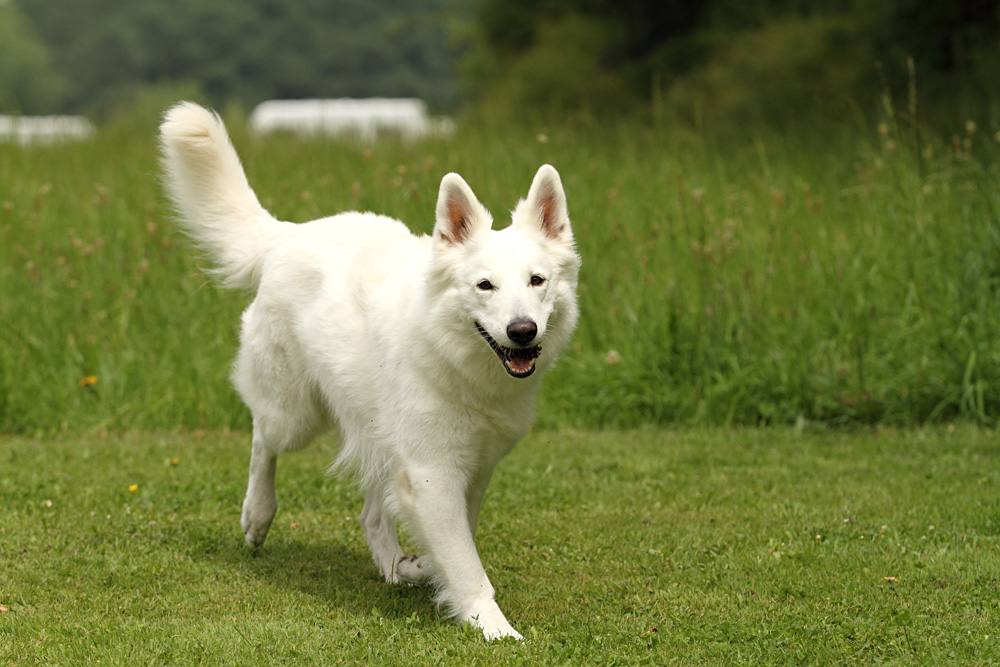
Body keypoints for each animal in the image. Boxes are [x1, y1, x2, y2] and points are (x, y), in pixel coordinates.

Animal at [158, 102, 580, 640]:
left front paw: (423, 568)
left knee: (371, 514)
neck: (452, 355)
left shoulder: (469, 469)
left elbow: (455, 543)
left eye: (537, 281)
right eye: (485, 286)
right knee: (262, 442)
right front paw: (495, 629)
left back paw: (396, 564)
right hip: (295, 416)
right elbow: (466, 564)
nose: (522, 331)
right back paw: (257, 516)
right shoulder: (431, 472)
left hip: (377, 430)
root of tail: (290, 232)